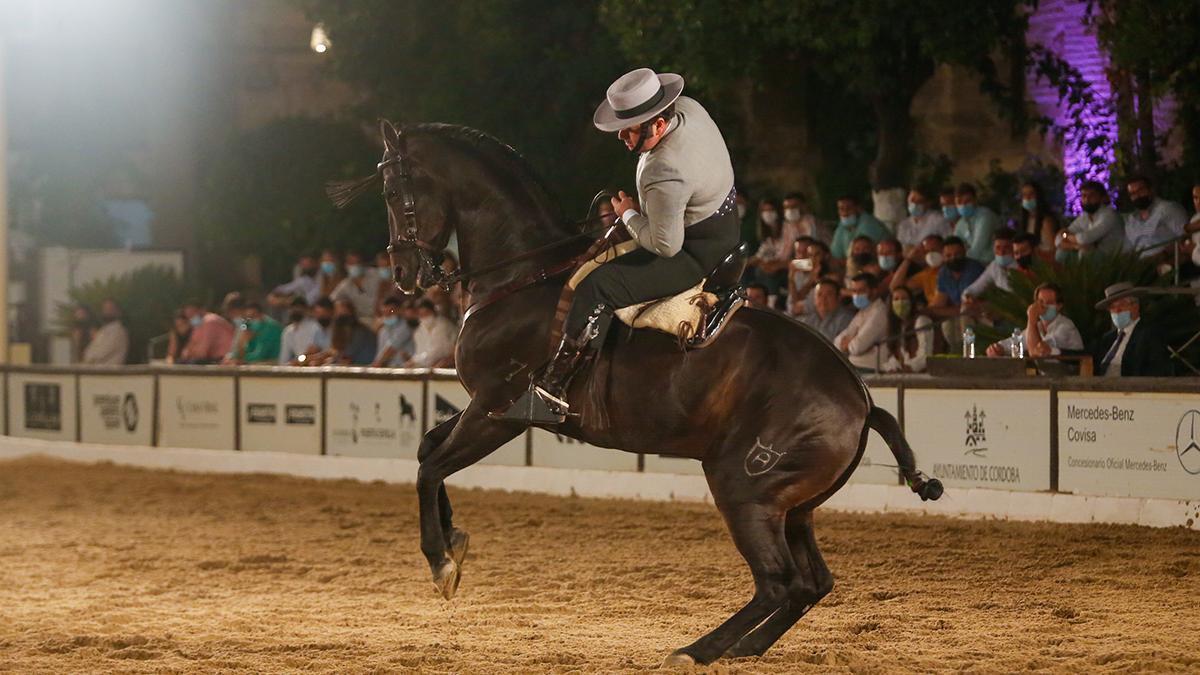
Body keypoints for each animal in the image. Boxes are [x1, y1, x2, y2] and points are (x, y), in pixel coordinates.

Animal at [333, 119, 940, 662]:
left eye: (393, 192)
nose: (404, 275)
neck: (526, 278)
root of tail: (860, 397)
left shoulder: (500, 411)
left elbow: (429, 465)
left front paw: (441, 561)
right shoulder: (485, 410)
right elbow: (427, 449)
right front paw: (455, 540)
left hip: (743, 488)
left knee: (778, 582)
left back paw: (698, 650)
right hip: (792, 505)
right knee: (811, 583)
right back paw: (743, 649)